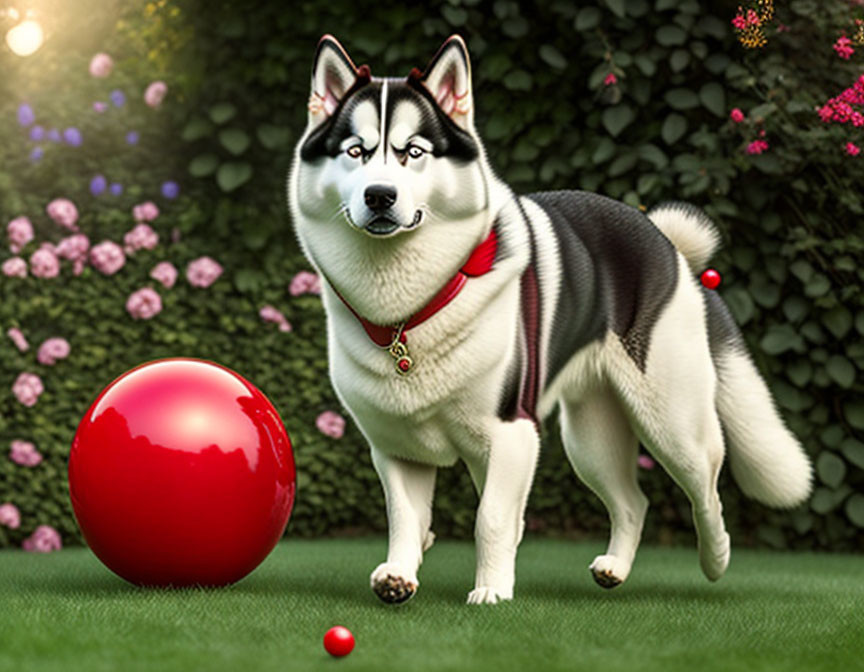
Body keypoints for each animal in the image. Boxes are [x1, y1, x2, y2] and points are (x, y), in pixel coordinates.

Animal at [286, 34, 812, 608]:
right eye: (354, 151)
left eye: (415, 152)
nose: (379, 195)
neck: (417, 305)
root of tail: (664, 241)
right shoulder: (397, 448)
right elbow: (405, 516)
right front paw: (400, 574)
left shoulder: (512, 431)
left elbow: (491, 518)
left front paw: (491, 591)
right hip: (591, 438)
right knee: (632, 501)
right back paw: (614, 568)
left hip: (673, 422)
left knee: (707, 489)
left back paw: (716, 559)